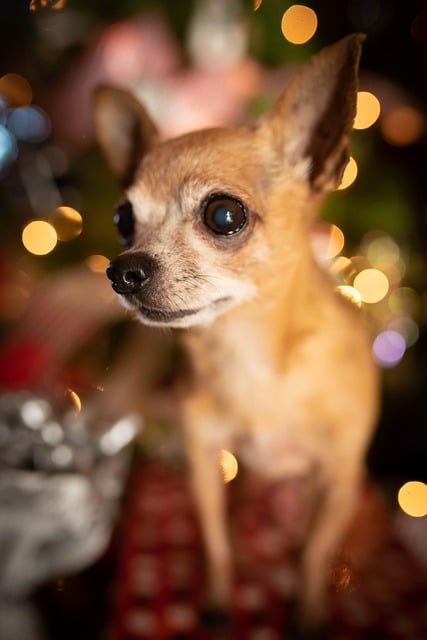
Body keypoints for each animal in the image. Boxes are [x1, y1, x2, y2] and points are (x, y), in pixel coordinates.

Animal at [93, 33, 378, 624]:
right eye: (123, 221)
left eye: (224, 215)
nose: (121, 270)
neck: (250, 357)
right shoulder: (204, 462)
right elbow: (214, 538)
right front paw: (219, 601)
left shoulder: (339, 479)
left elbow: (312, 555)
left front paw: (308, 614)